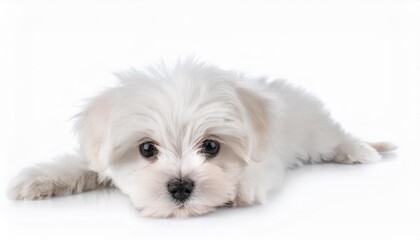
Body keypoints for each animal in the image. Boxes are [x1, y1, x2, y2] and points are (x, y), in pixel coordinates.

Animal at [7, 59, 398, 218]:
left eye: (211, 146)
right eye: (146, 149)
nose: (181, 186)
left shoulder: (269, 155)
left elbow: (256, 169)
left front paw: (238, 188)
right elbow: (81, 165)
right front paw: (38, 180)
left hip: (315, 130)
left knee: (336, 138)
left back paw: (362, 150)